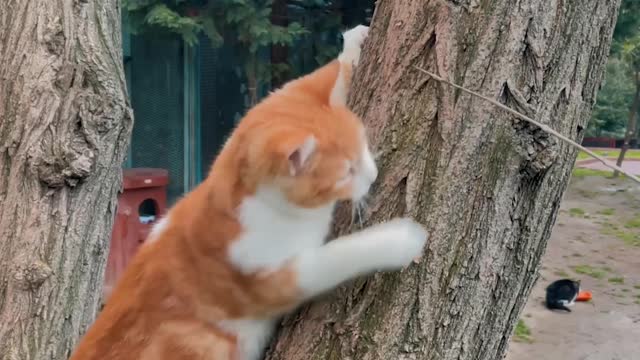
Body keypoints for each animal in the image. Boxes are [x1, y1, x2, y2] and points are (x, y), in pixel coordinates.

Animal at [69, 24, 430, 360]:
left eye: (364, 145)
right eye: (347, 172)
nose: (373, 174)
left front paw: (352, 45)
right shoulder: (273, 277)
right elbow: (339, 255)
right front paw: (400, 239)